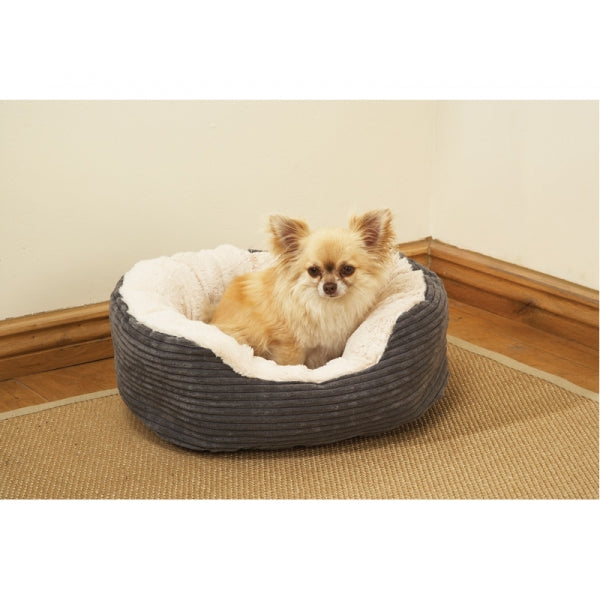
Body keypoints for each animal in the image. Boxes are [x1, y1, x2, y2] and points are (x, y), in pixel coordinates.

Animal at [209, 210, 396, 370]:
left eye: (348, 269)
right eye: (313, 271)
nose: (329, 286)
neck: (326, 306)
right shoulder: (288, 345)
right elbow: (293, 365)